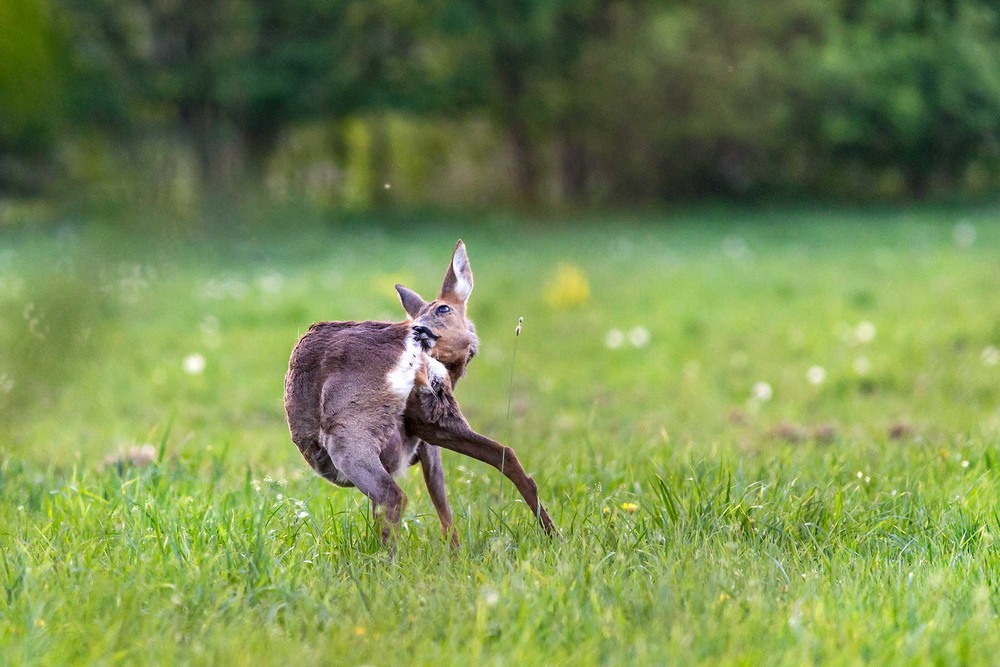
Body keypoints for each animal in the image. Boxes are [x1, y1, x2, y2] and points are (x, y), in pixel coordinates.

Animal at [286, 241, 560, 548]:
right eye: (419, 313)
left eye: (444, 308)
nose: (421, 328)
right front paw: (455, 551)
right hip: (426, 420)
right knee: (504, 453)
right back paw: (554, 535)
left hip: (354, 428)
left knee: (393, 496)